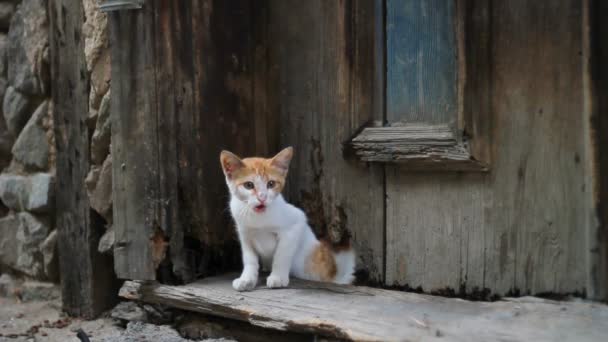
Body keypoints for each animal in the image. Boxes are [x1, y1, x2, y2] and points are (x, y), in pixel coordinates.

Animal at [220, 147, 356, 292]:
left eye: (271, 184)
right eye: (249, 185)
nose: (262, 197)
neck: (258, 218)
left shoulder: (296, 223)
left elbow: (282, 255)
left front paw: (278, 277)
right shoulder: (245, 235)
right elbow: (249, 259)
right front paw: (247, 279)